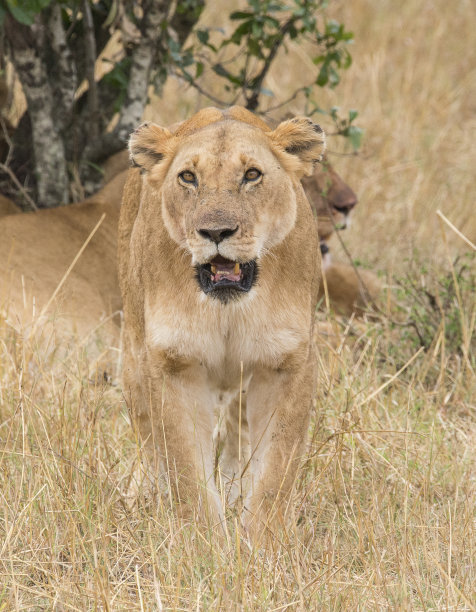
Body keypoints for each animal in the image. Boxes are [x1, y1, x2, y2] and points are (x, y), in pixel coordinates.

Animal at [121, 106, 326, 540]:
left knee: (236, 433)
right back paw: (140, 497)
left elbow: (276, 470)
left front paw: (262, 547)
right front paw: (205, 546)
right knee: (147, 438)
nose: (216, 232)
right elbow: (185, 471)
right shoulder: (173, 362)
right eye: (188, 177)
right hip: (132, 356)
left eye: (251, 174)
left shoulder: (288, 362)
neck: (228, 307)